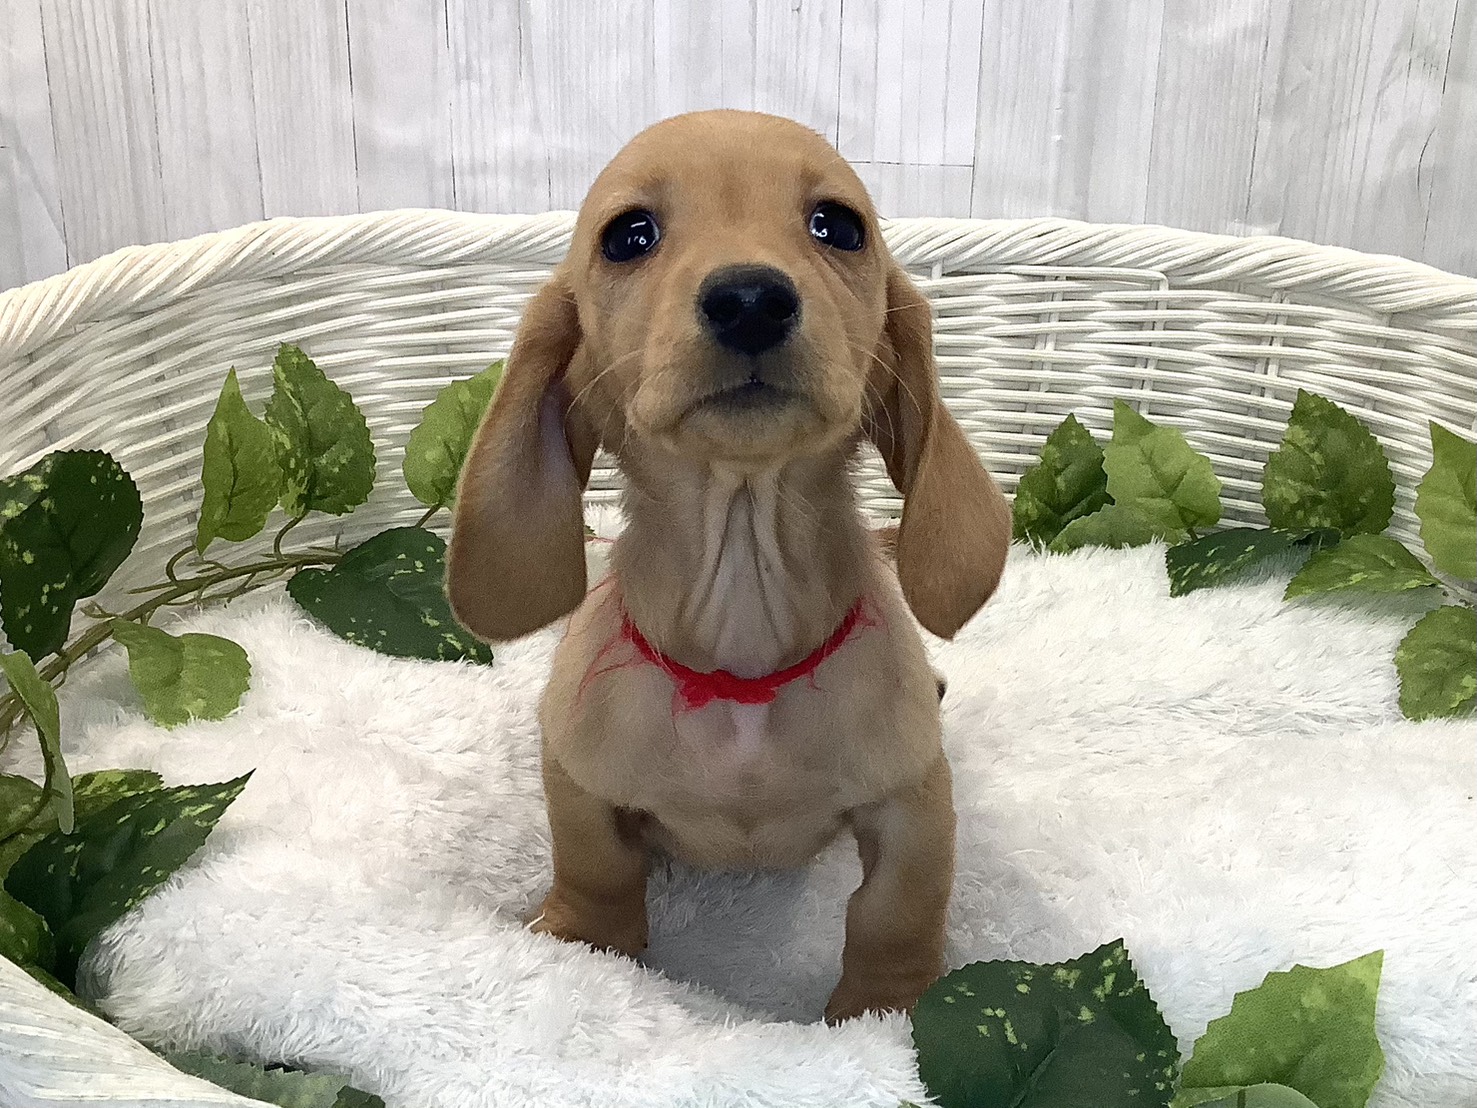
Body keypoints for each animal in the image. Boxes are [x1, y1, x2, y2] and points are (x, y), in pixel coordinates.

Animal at [446, 110, 1009, 1022]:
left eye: (837, 226)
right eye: (628, 235)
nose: (750, 299)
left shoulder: (915, 802)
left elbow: (897, 909)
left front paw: (883, 1012)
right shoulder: (574, 775)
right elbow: (594, 865)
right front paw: (584, 943)